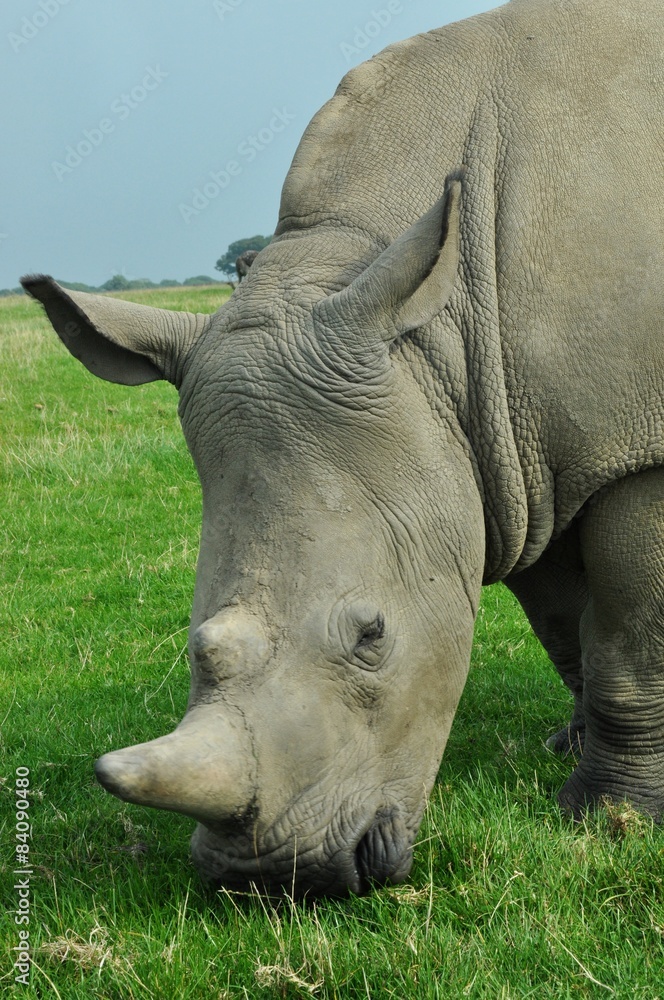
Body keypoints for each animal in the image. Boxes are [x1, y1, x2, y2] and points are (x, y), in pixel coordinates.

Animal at [22, 0, 664, 897]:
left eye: (372, 636)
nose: (276, 879)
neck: (442, 343)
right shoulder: (515, 459)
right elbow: (569, 629)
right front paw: (569, 752)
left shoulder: (631, 450)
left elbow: (631, 646)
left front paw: (612, 818)